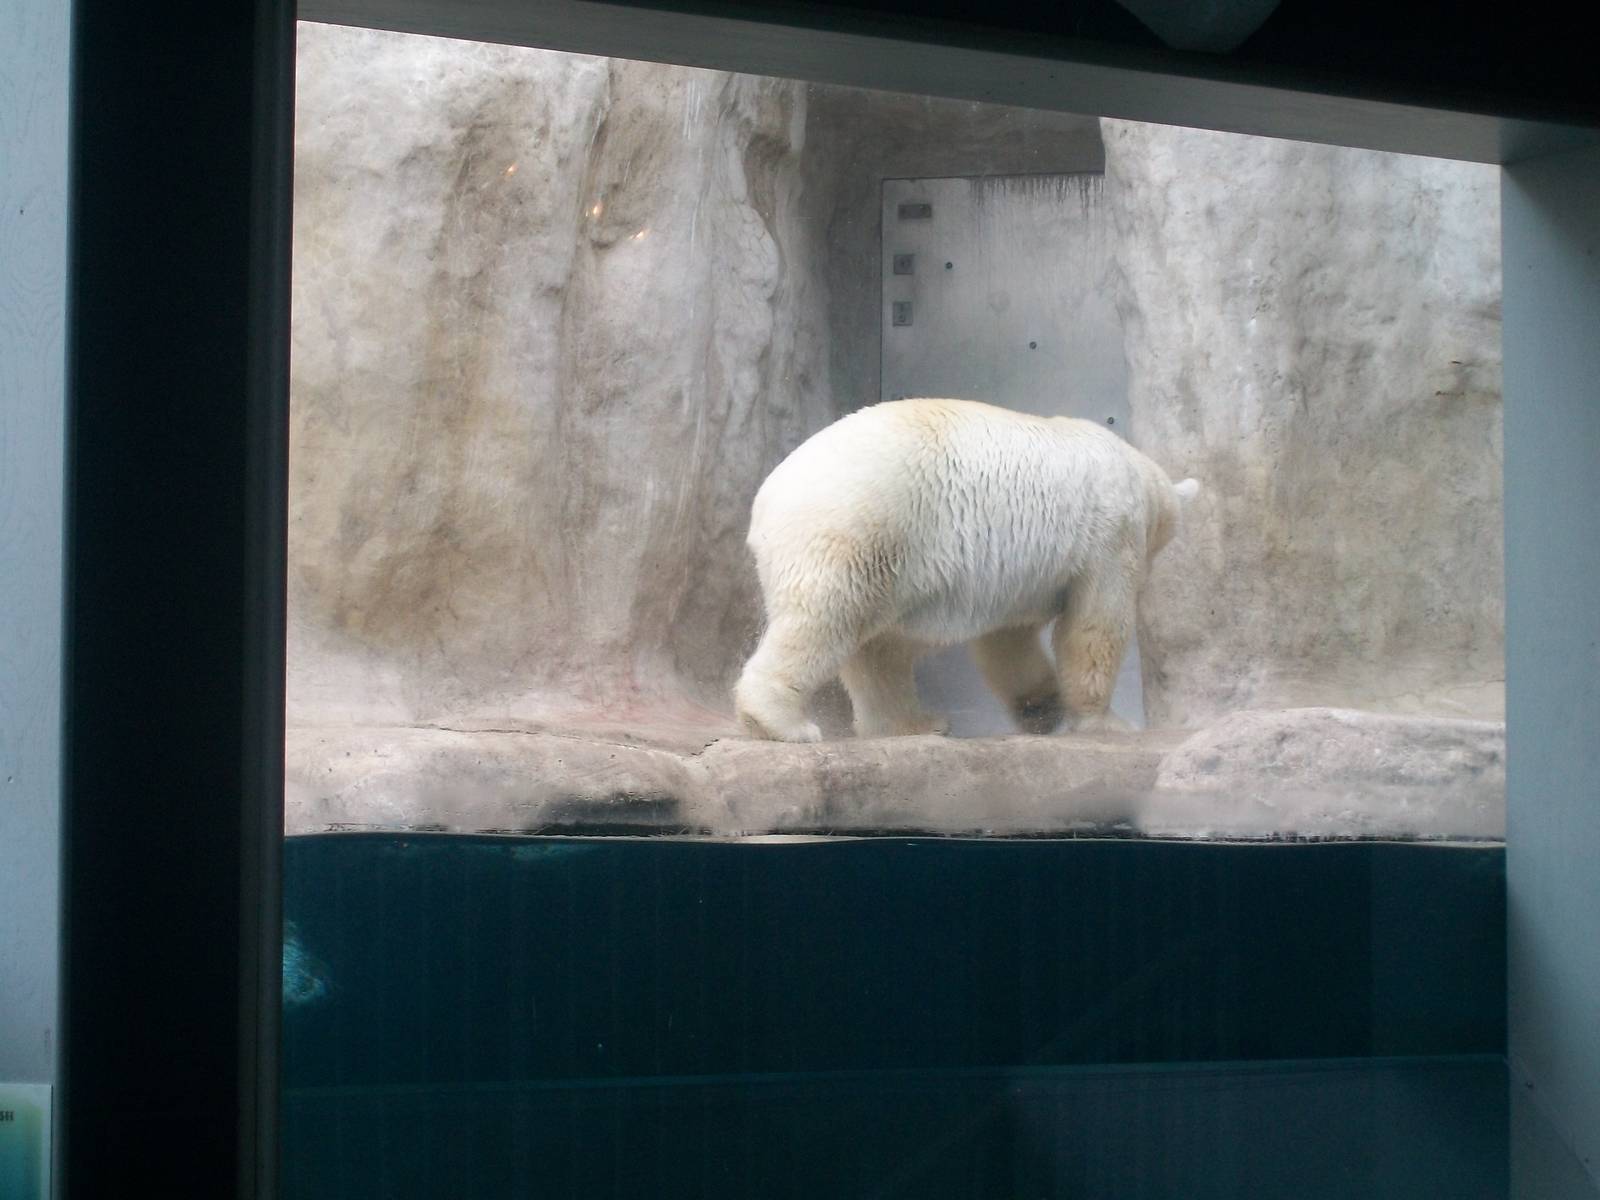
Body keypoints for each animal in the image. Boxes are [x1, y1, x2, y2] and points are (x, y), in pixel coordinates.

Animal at [733, 397, 1198, 742]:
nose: (1152, 573)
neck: (1136, 472)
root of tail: (764, 505)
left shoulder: (1017, 574)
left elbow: (1008, 641)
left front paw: (1042, 706)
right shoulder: (1109, 537)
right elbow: (1094, 627)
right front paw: (1108, 723)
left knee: (877, 649)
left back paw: (914, 723)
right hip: (859, 528)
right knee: (824, 621)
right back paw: (782, 722)